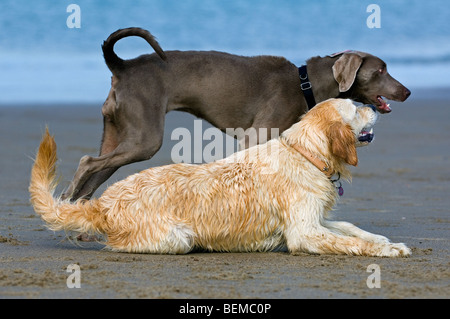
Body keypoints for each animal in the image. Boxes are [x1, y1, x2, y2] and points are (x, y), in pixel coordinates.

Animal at [63, 28, 412, 202]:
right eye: (381, 70)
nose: (407, 91)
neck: (306, 83)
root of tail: (121, 66)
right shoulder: (255, 136)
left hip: (119, 132)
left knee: (96, 172)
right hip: (144, 137)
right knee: (87, 162)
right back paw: (68, 198)